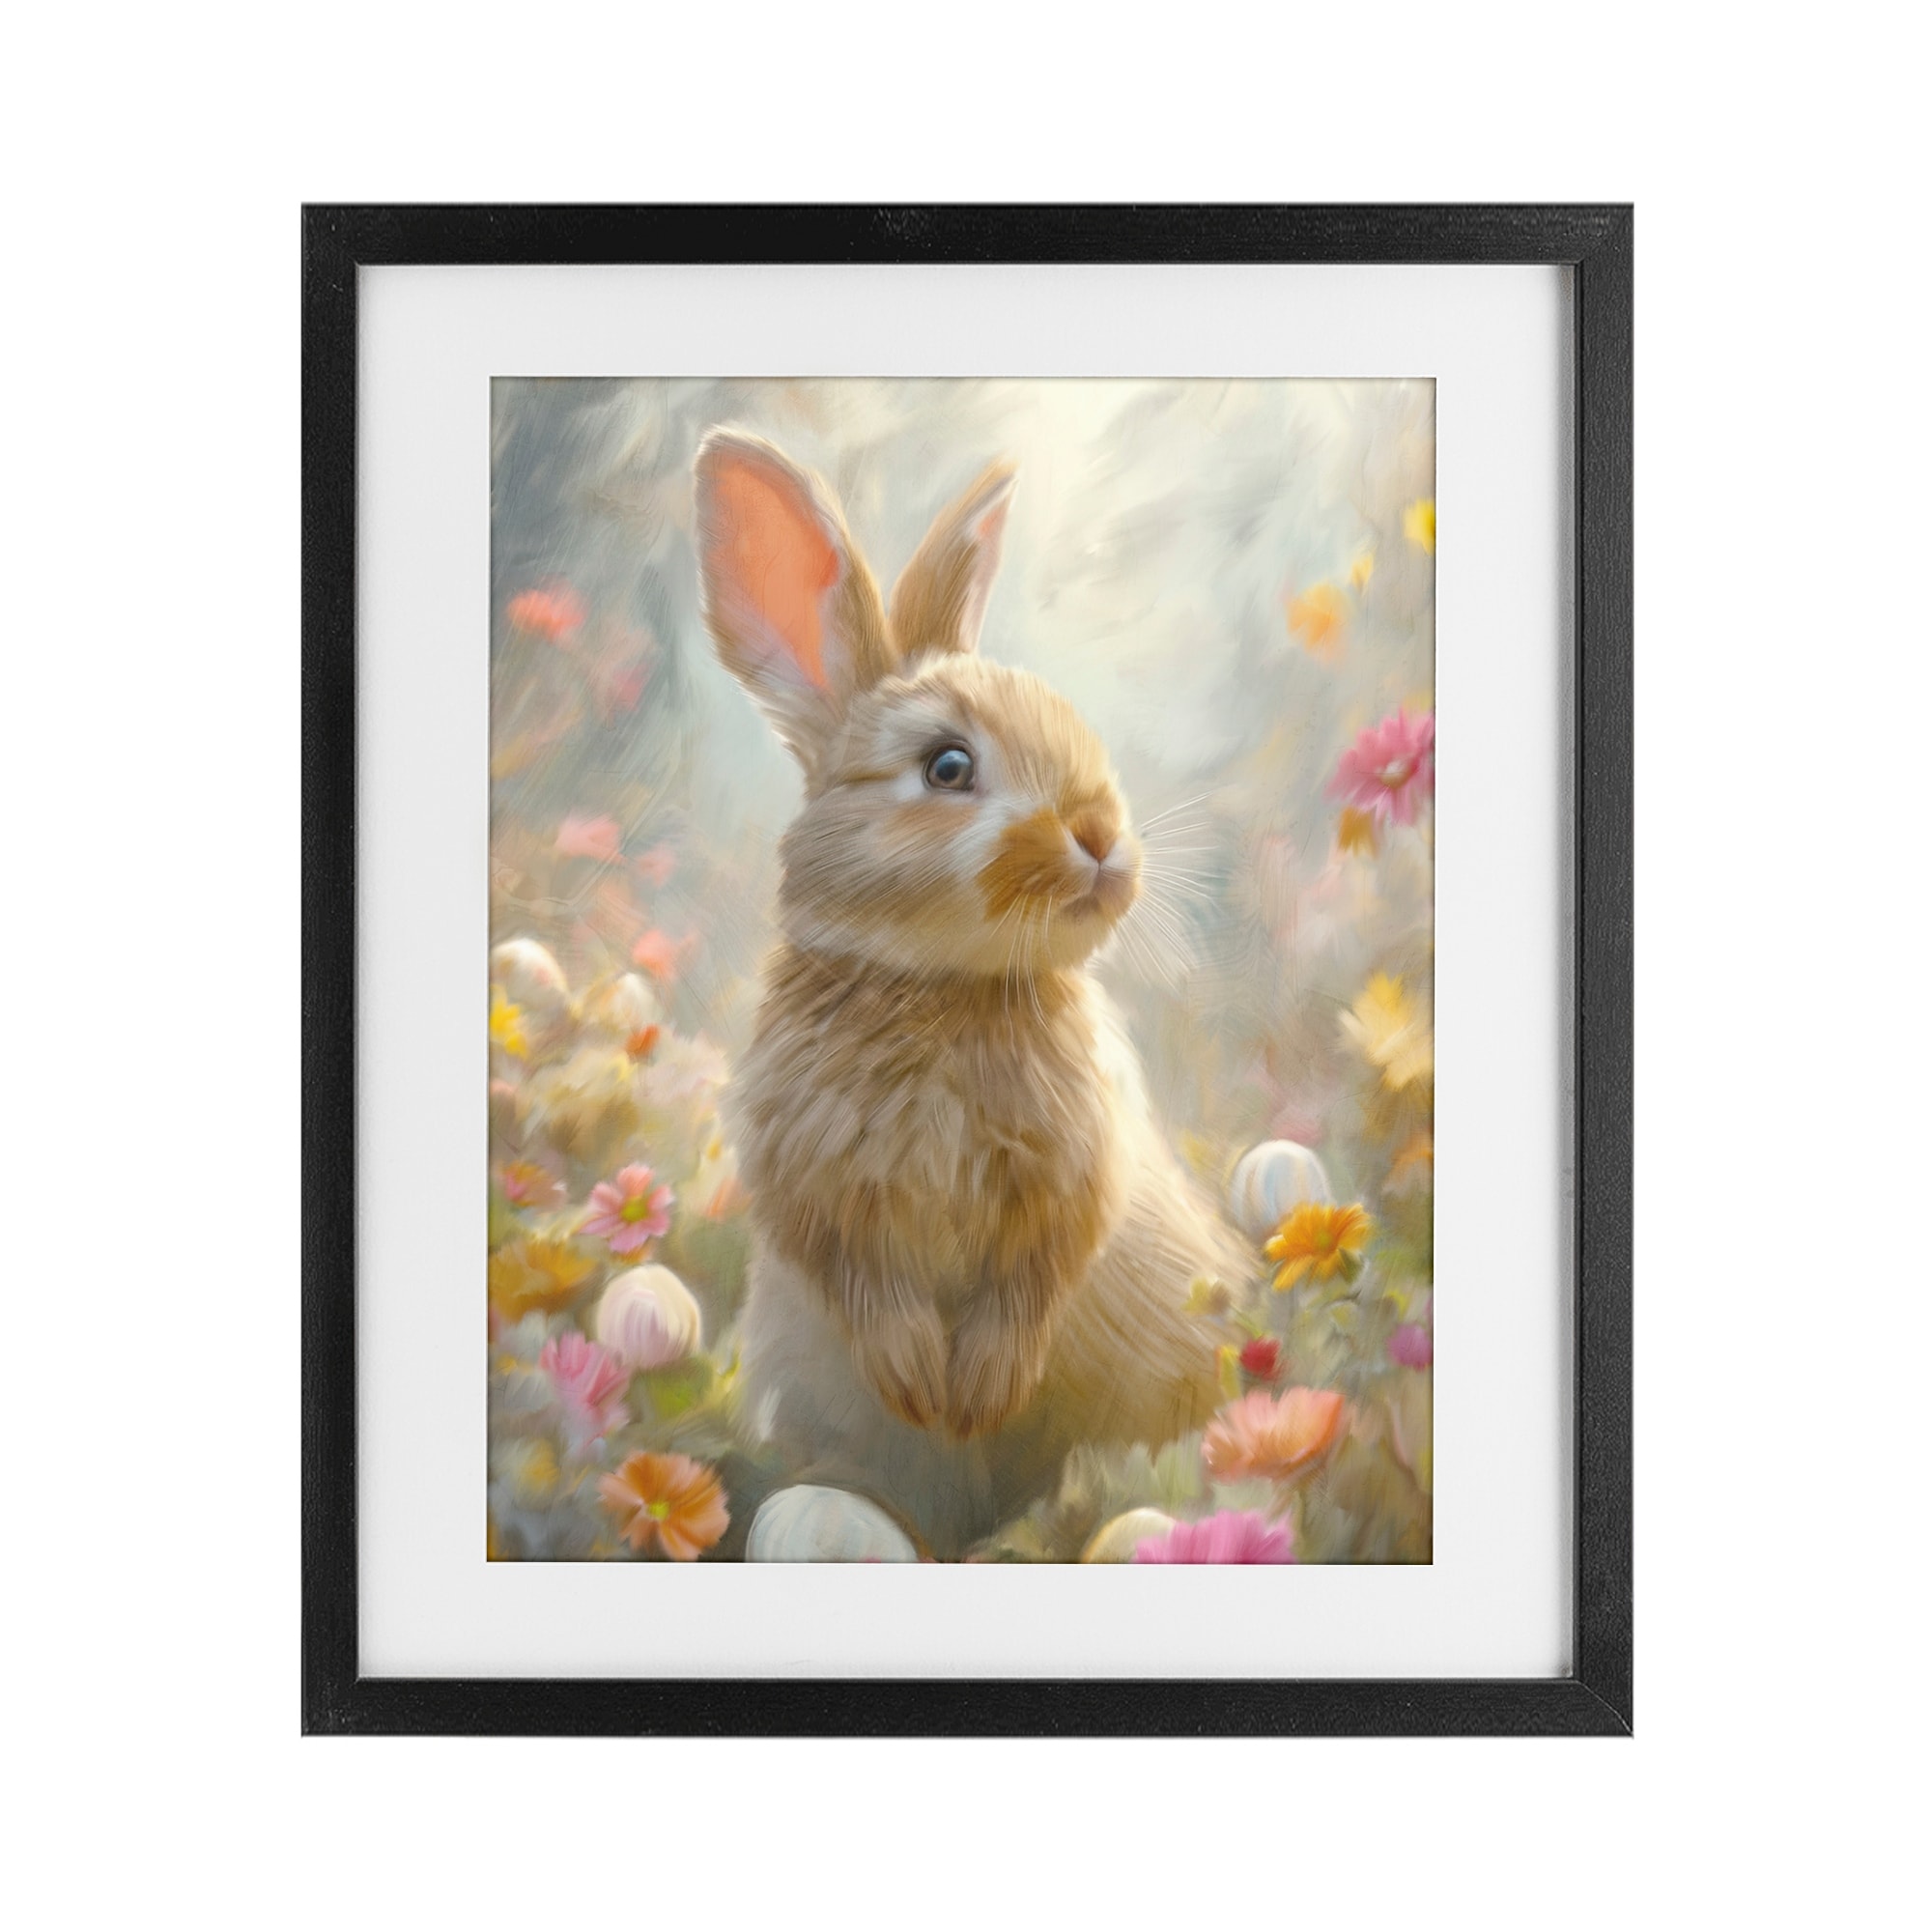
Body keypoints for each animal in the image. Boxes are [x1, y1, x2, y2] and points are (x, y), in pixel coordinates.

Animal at [693, 428, 1244, 1557]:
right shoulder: (815, 1182)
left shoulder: (1070, 1175)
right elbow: (860, 1275)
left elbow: (1036, 1275)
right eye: (947, 766)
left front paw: (980, 1389)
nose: (1102, 837)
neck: (941, 985)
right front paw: (919, 1382)